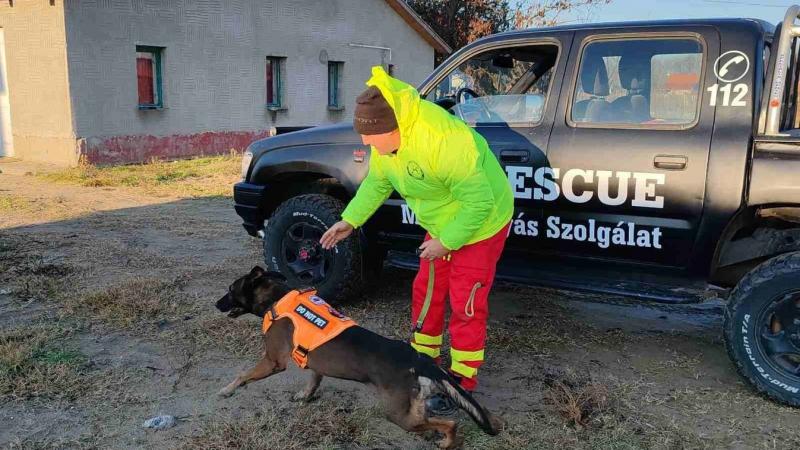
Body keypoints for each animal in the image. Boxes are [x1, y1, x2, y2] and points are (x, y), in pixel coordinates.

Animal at [216, 266, 504, 448]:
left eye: (230, 289)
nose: (216, 304)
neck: (277, 297)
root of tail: (418, 359)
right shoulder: (315, 361)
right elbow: (313, 379)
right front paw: (305, 395)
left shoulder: (272, 361)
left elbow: (242, 375)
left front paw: (228, 389)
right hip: (413, 411)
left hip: (399, 415)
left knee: (451, 423)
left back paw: (447, 442)